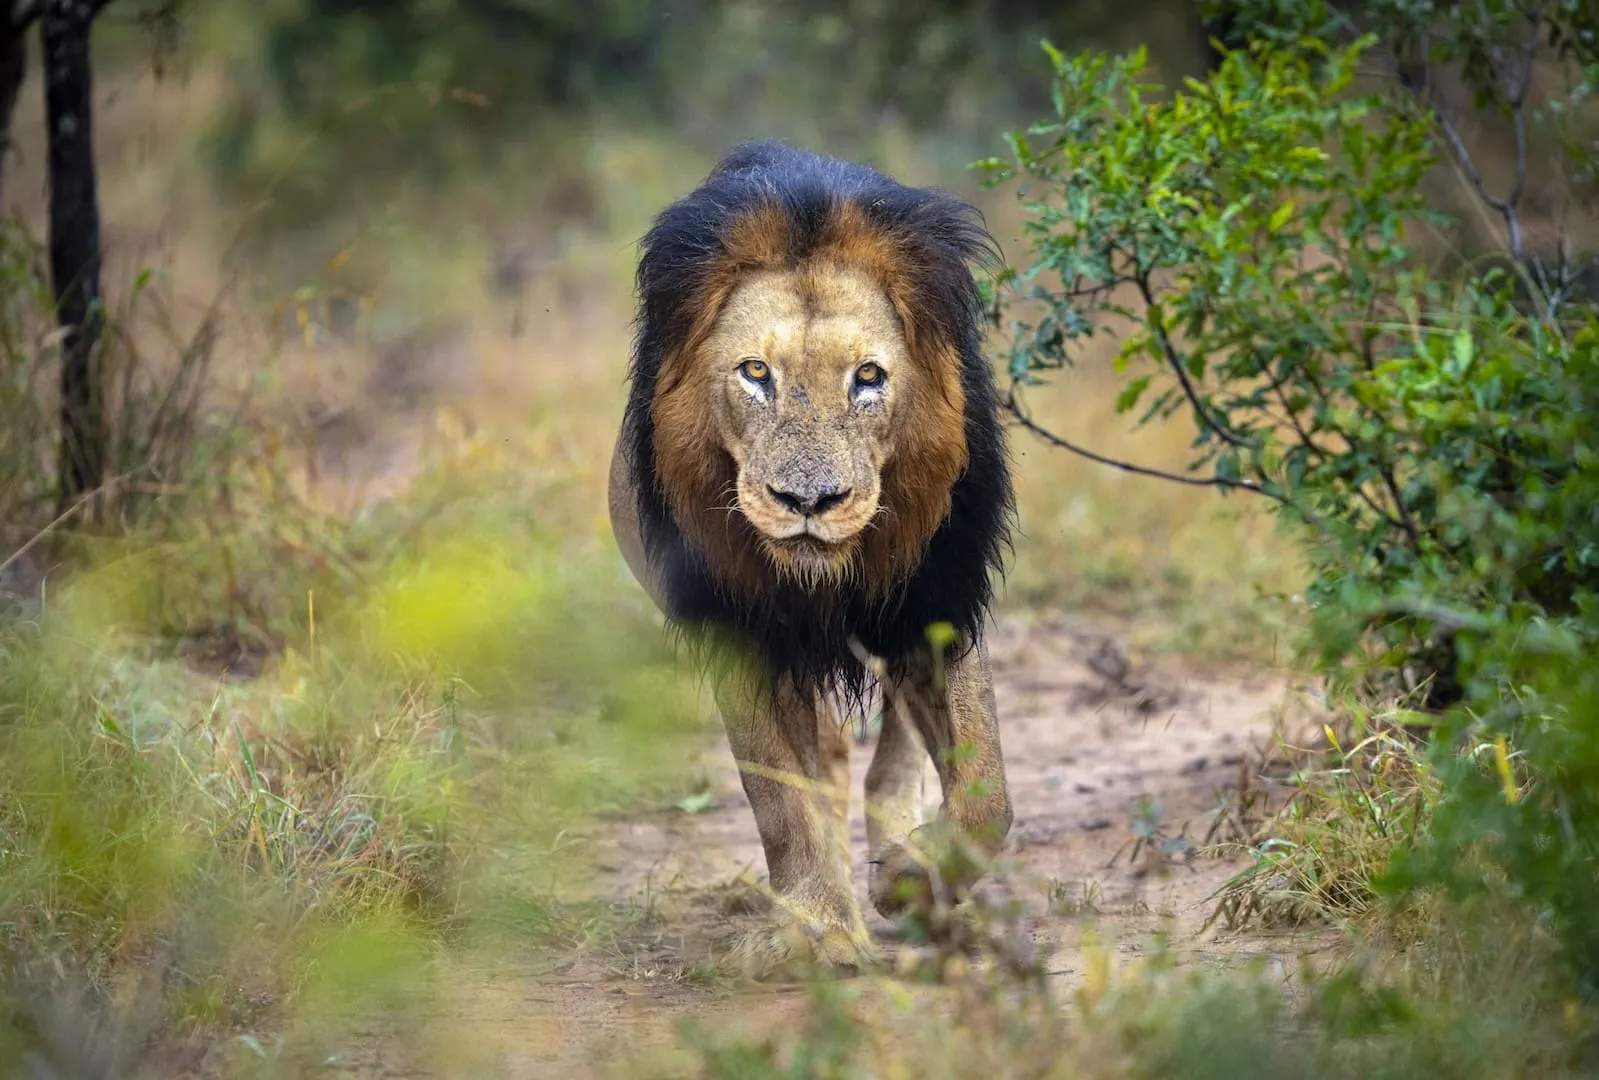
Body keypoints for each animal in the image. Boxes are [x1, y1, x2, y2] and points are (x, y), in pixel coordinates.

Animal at [607, 140, 1016, 975]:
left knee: (897, 756)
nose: (808, 501)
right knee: (820, 761)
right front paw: (823, 924)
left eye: (868, 378)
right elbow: (781, 799)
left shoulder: (939, 601)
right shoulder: (743, 635)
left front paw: (910, 879)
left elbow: (986, 791)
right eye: (755, 373)